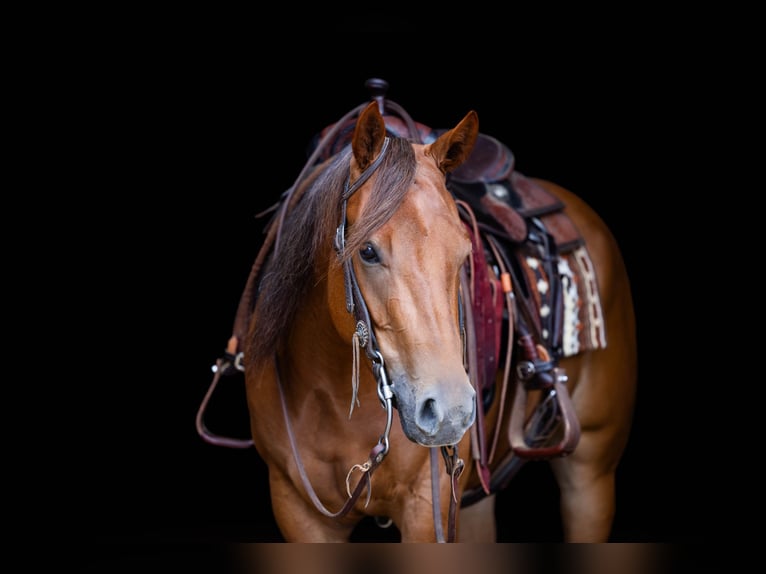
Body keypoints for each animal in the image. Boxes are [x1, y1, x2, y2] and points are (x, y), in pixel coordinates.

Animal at [195, 82, 640, 544]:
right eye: (367, 251)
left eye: (463, 252)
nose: (450, 411)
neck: (332, 392)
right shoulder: (296, 508)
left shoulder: (428, 504)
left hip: (590, 474)